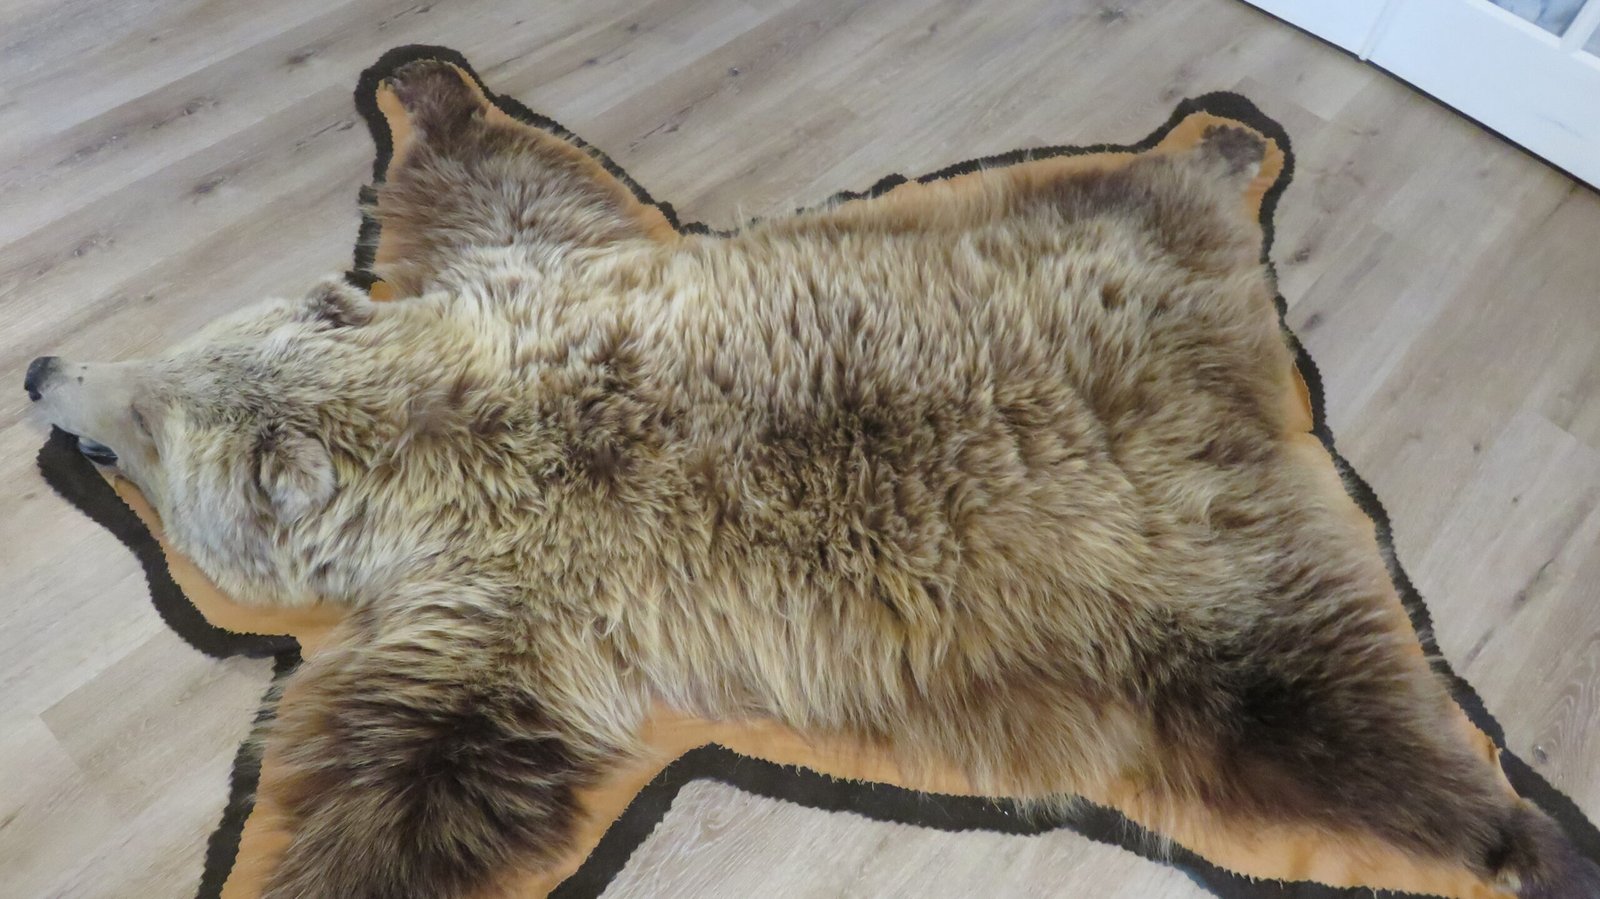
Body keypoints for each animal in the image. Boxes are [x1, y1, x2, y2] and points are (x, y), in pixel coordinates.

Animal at [24, 59, 1600, 899]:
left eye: (128, 437)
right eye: (152, 359)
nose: (41, 370)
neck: (439, 427)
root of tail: (1247, 400)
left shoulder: (521, 604)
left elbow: (415, 771)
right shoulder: (535, 309)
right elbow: (508, 175)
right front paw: (428, 79)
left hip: (1189, 623)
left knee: (1343, 740)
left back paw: (1523, 827)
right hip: (1075, 242)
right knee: (1135, 185)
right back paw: (1222, 137)